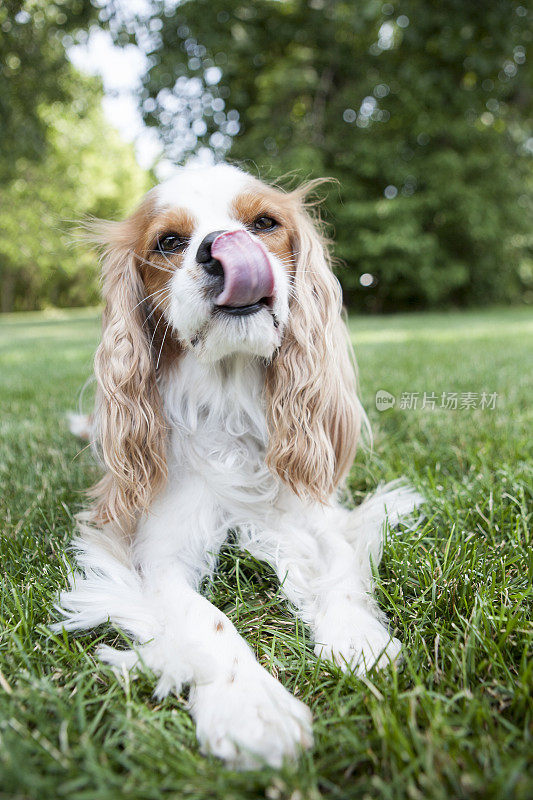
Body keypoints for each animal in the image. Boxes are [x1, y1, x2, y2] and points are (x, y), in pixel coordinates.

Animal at [56, 162, 422, 768]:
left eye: (265, 223)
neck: (227, 401)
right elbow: (209, 621)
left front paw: (358, 640)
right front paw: (251, 706)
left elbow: (341, 569)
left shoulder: (317, 516)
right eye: (169, 242)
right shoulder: (155, 556)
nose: (222, 246)